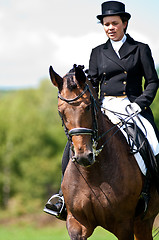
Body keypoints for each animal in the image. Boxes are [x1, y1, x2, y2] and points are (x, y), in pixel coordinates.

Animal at [49, 64, 159, 240]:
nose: (83, 156)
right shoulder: (77, 224)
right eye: (61, 111)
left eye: (88, 107)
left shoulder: (123, 225)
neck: (92, 173)